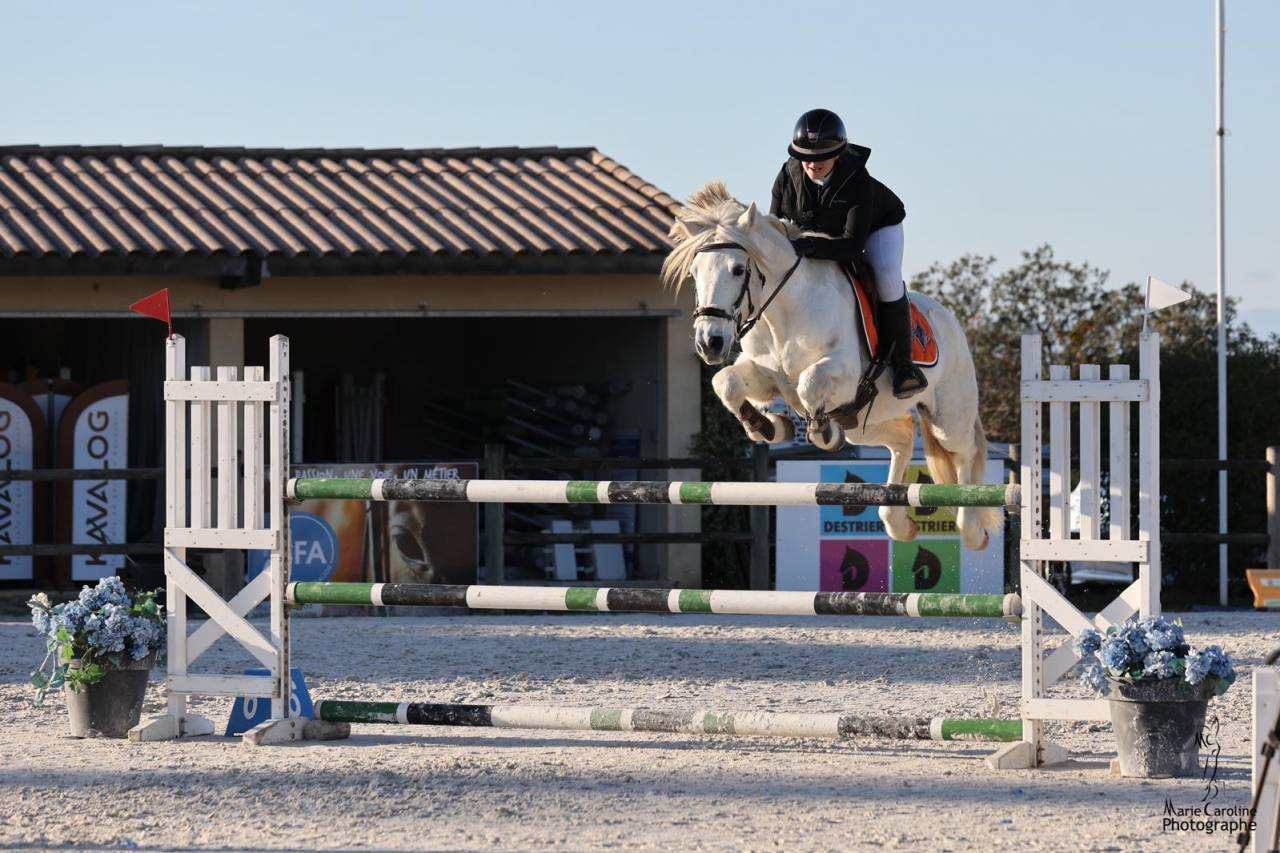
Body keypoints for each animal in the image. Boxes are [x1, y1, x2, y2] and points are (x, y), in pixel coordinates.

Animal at [662, 181, 999, 550]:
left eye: (738, 270)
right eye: (694, 273)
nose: (709, 343)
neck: (783, 313)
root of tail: (950, 321)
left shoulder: (845, 375)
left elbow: (809, 384)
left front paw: (822, 432)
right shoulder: (766, 375)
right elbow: (725, 382)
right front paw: (767, 427)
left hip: (948, 417)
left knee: (964, 454)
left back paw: (971, 529)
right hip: (866, 426)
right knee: (903, 438)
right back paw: (897, 523)